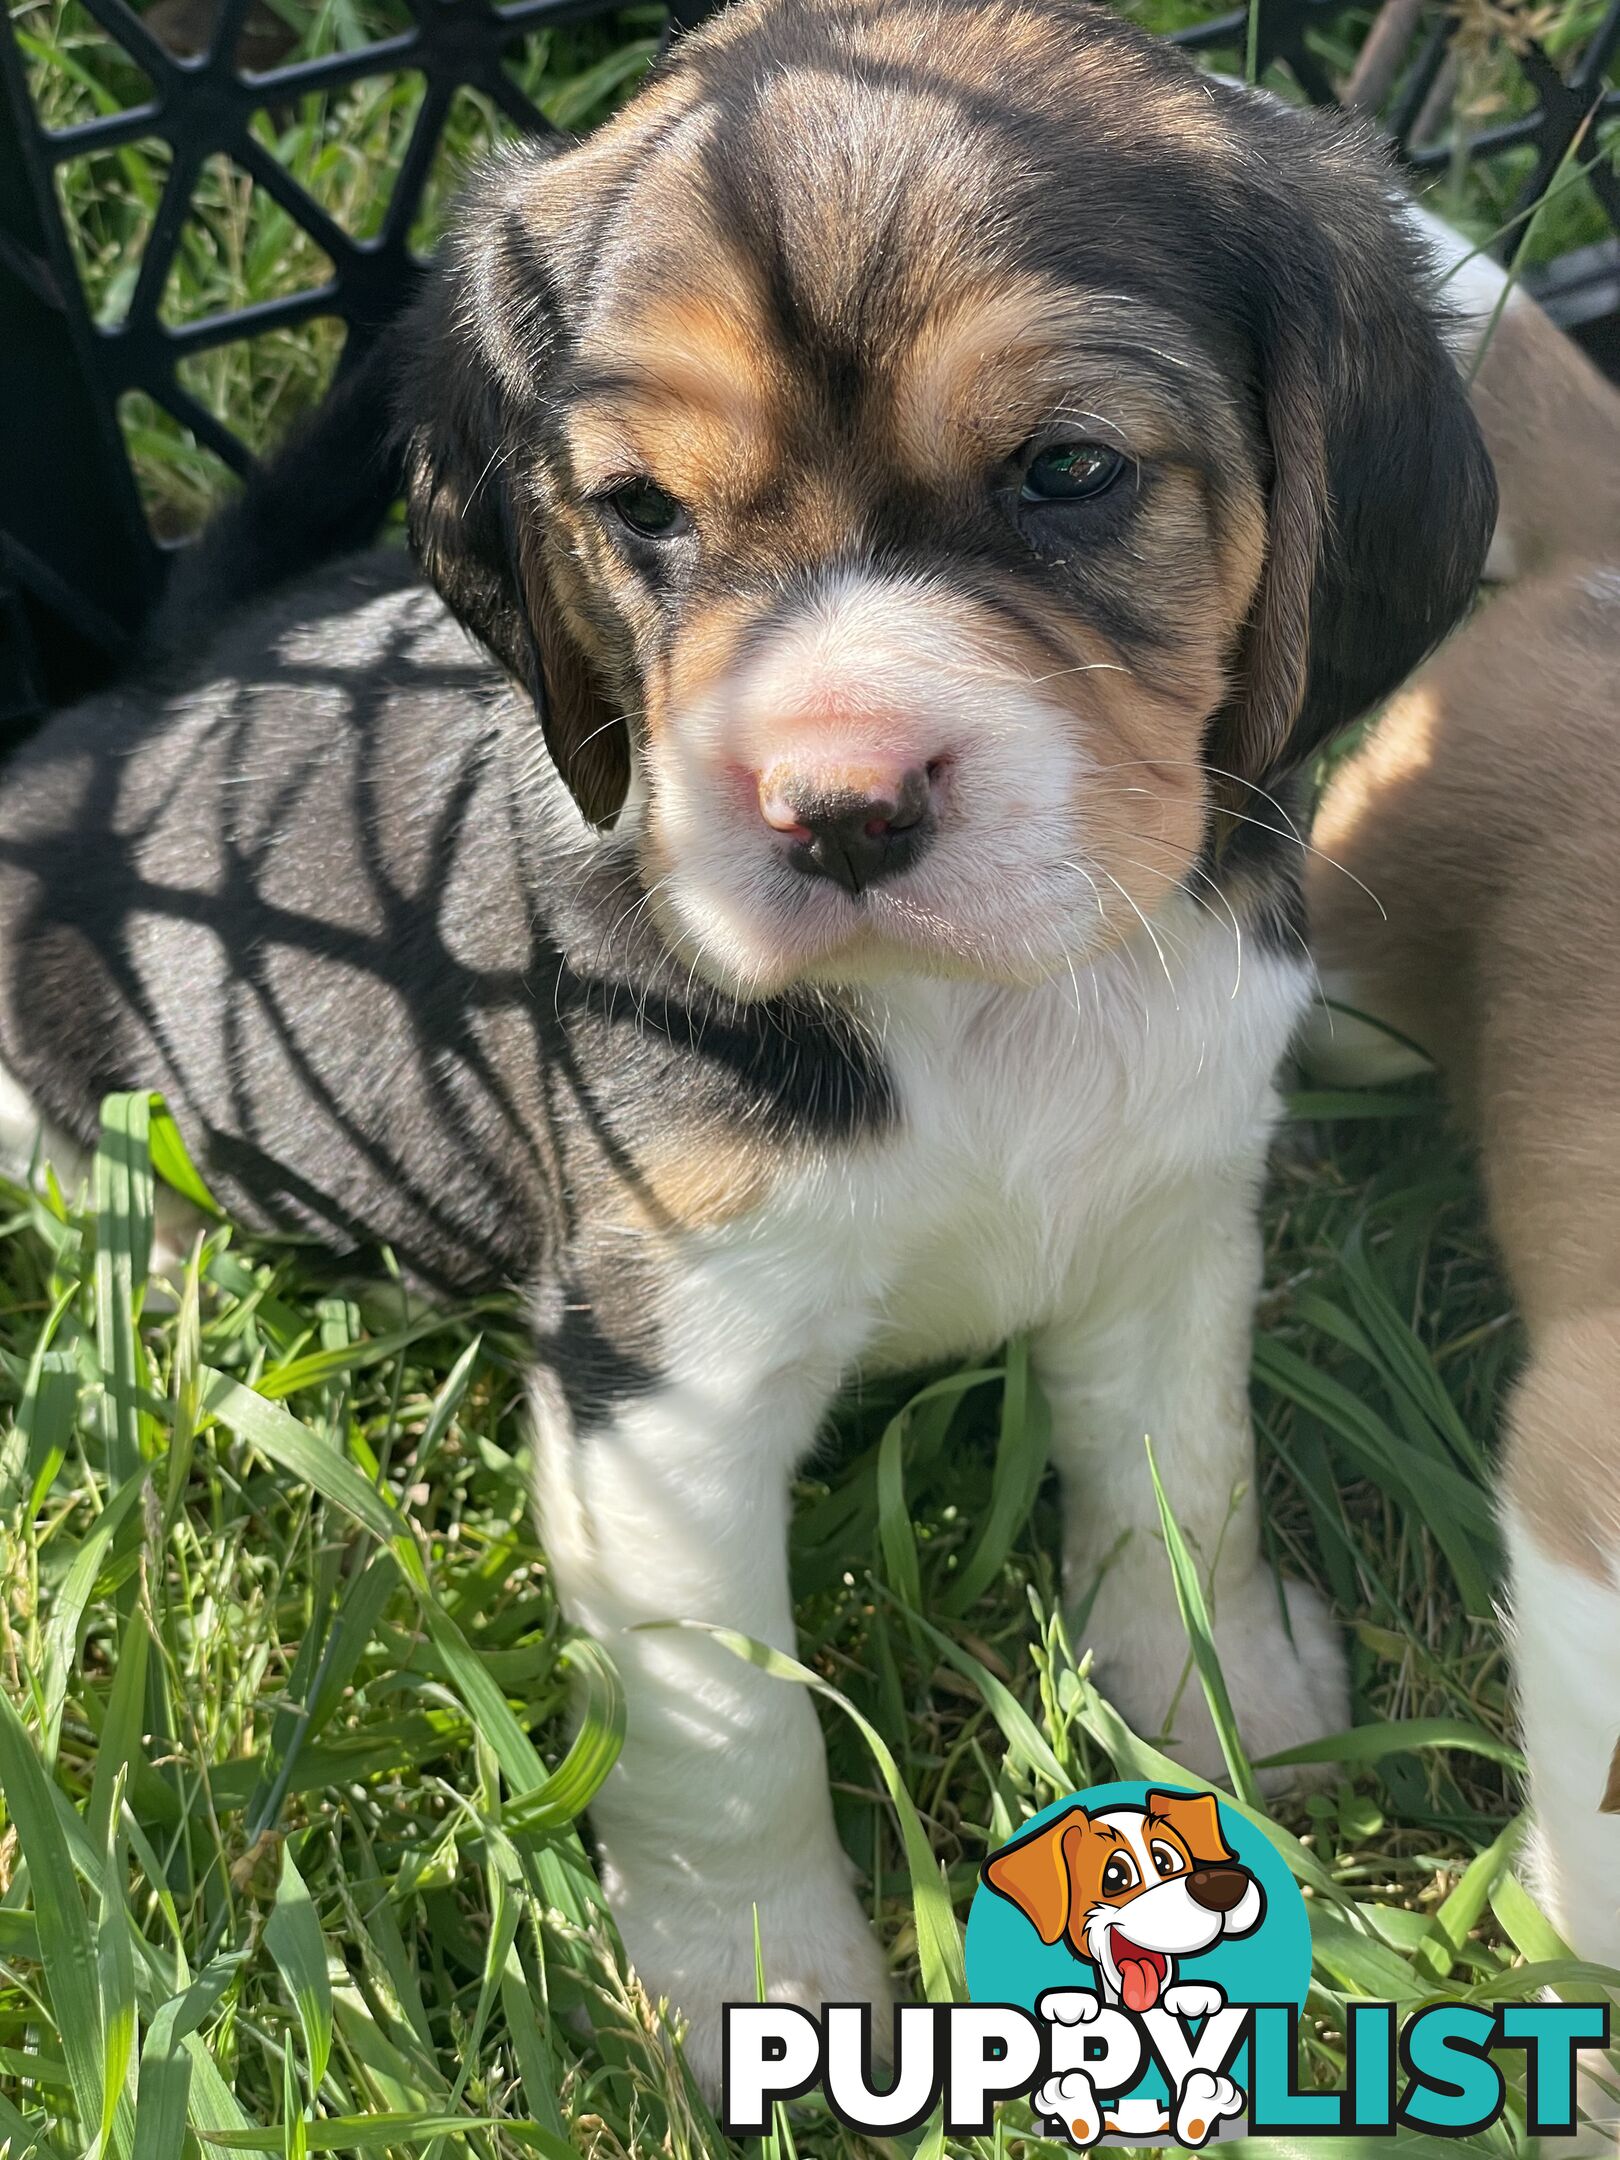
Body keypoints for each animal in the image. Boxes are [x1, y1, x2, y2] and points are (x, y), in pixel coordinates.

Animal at [0, 0, 1494, 2082]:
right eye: (642, 512)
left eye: (1069, 469)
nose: (836, 809)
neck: (977, 1008)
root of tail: (124, 704)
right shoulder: (664, 1387)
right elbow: (730, 1744)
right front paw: (775, 1998)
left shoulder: (1176, 1221)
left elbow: (1179, 1484)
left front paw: (1229, 1720)